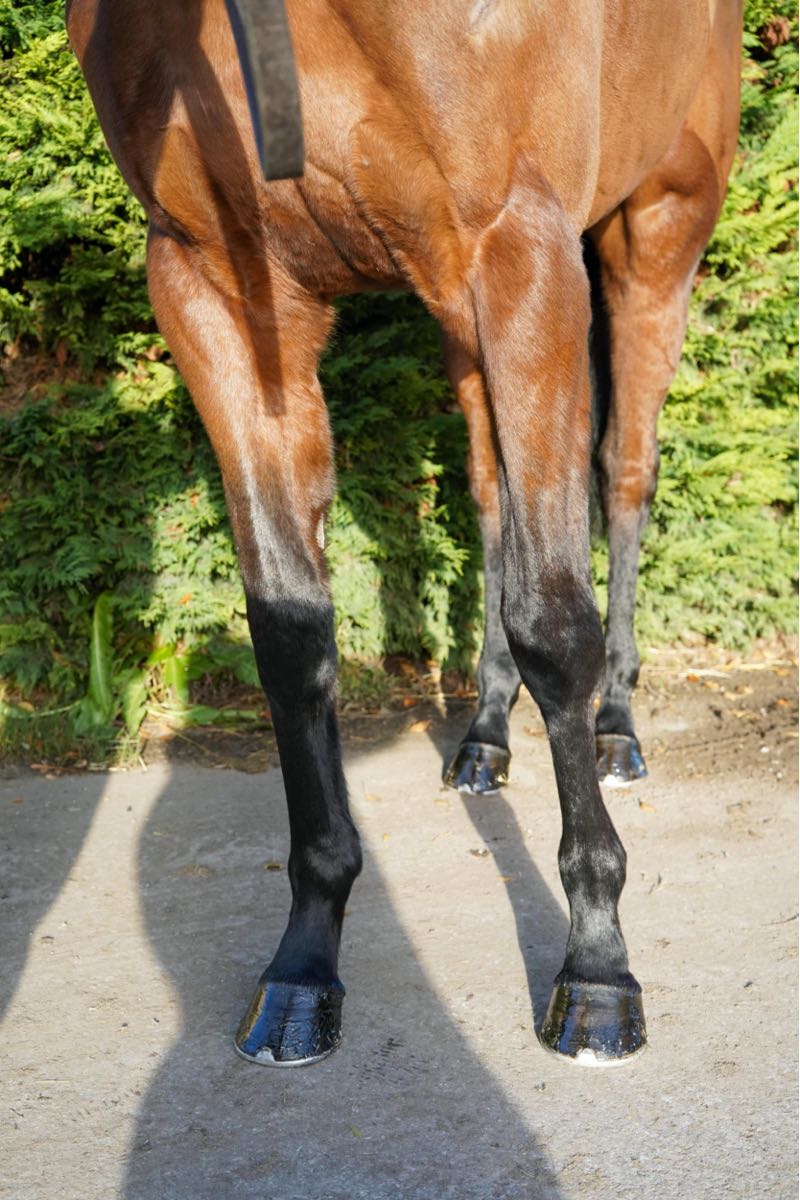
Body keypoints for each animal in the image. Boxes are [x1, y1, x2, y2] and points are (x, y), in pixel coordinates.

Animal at [66, 0, 743, 1067]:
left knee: (624, 476)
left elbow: (557, 626)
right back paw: (484, 738)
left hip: (654, 240)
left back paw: (619, 727)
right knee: (494, 494)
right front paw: (304, 966)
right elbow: (289, 631)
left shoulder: (522, 245)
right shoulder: (215, 286)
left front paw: (597, 970)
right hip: (459, 311)